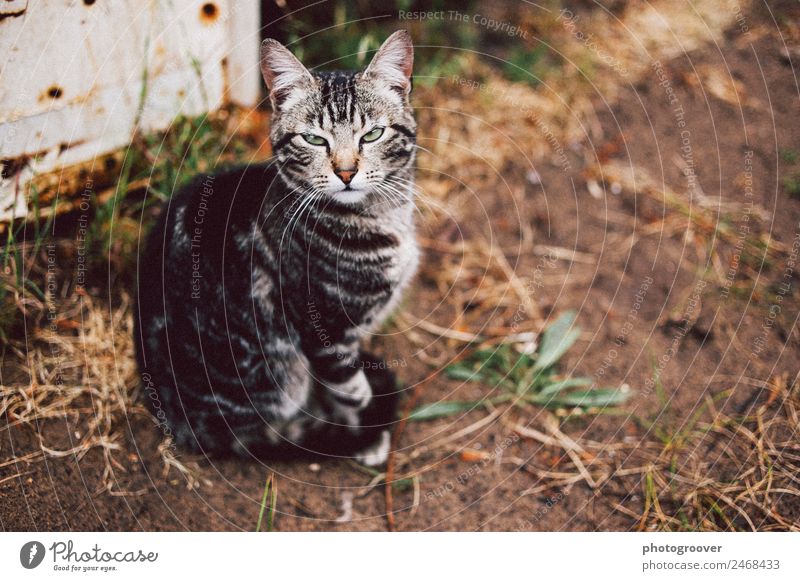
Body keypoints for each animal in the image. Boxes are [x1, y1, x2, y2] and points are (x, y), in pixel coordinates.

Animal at [133, 32, 418, 466]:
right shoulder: (324, 332)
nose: (346, 172)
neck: (379, 218)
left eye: (372, 135)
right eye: (314, 139)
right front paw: (362, 433)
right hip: (276, 376)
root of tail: (180, 420)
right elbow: (349, 392)